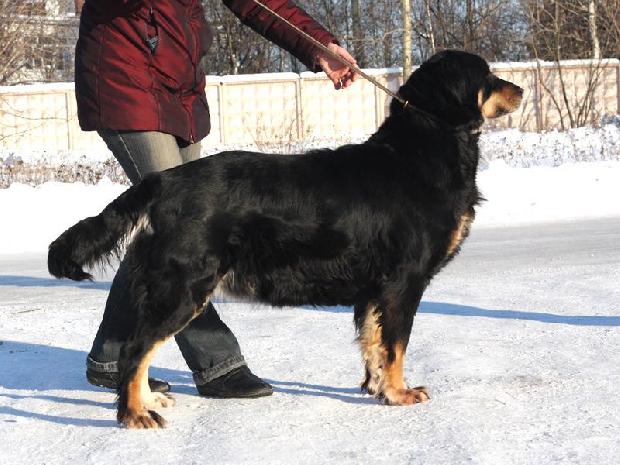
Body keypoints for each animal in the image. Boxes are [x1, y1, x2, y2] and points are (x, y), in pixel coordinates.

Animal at [48, 50, 523, 429]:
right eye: (486, 74)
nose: (519, 89)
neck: (418, 152)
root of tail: (162, 181)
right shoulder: (403, 283)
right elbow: (396, 347)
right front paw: (399, 392)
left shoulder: (375, 290)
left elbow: (373, 344)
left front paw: (375, 389)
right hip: (183, 287)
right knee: (135, 349)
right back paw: (134, 413)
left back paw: (146, 399)